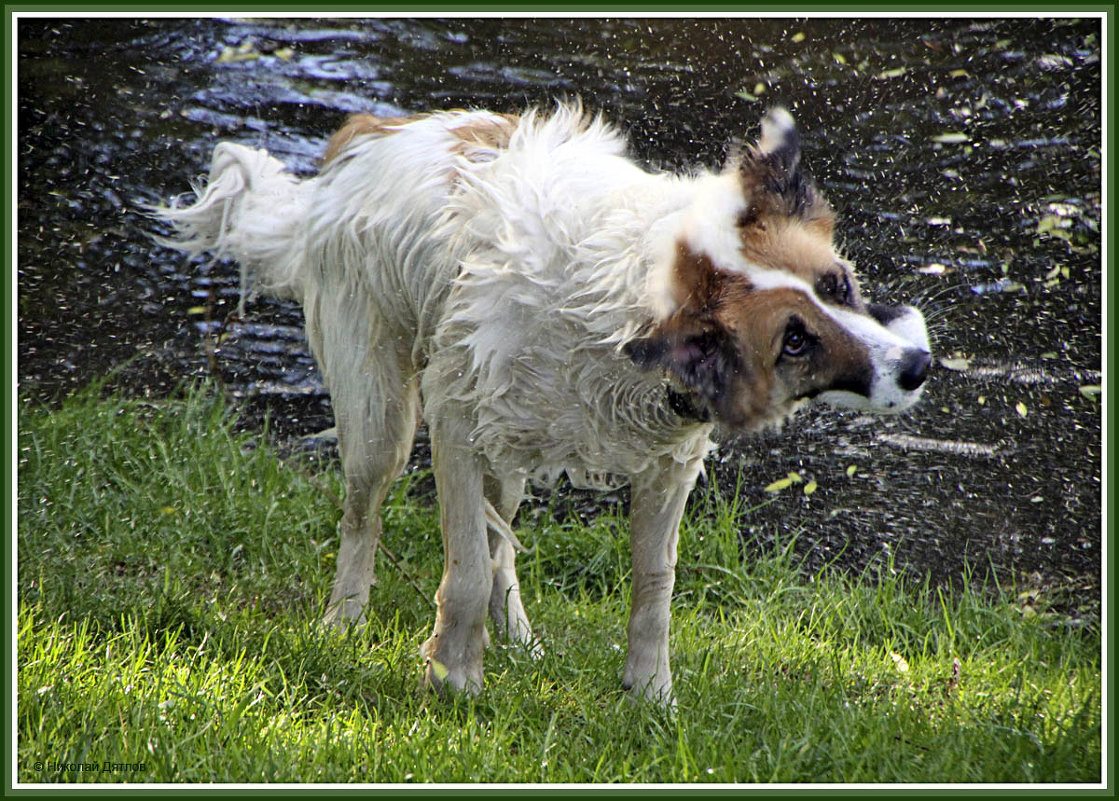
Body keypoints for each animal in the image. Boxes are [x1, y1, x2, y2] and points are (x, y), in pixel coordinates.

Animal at [155, 103, 926, 702]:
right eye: (794, 340)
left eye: (837, 284)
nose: (916, 366)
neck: (634, 302)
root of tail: (369, 133)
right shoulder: (455, 423)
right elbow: (464, 568)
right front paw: (454, 679)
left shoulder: (668, 465)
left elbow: (653, 586)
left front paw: (649, 693)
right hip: (383, 418)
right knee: (363, 516)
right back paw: (343, 621)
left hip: (508, 454)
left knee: (501, 542)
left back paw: (518, 637)